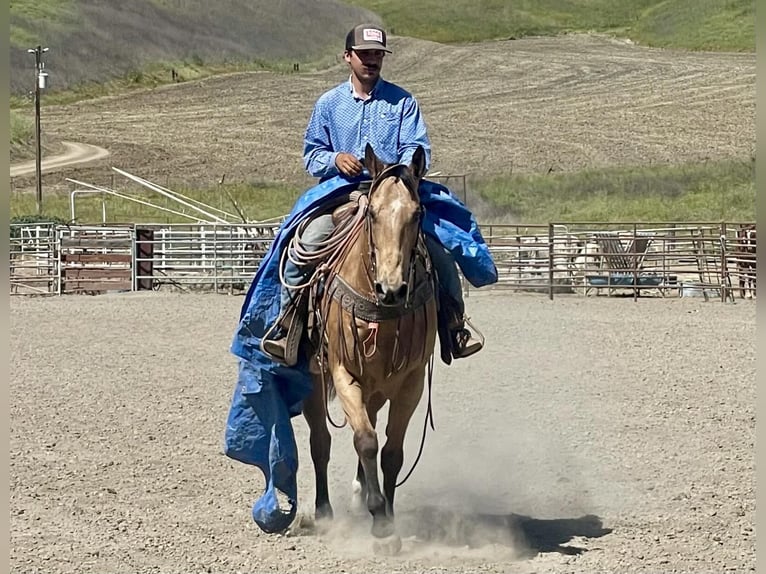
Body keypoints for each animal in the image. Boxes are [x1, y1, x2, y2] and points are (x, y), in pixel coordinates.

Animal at [304, 144, 440, 552]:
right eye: (373, 213)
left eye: (417, 213)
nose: (391, 289)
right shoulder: (343, 373)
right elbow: (365, 442)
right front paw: (379, 520)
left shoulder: (410, 382)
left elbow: (392, 453)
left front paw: (387, 516)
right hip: (313, 380)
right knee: (321, 441)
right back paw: (324, 512)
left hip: (378, 390)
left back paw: (358, 495)